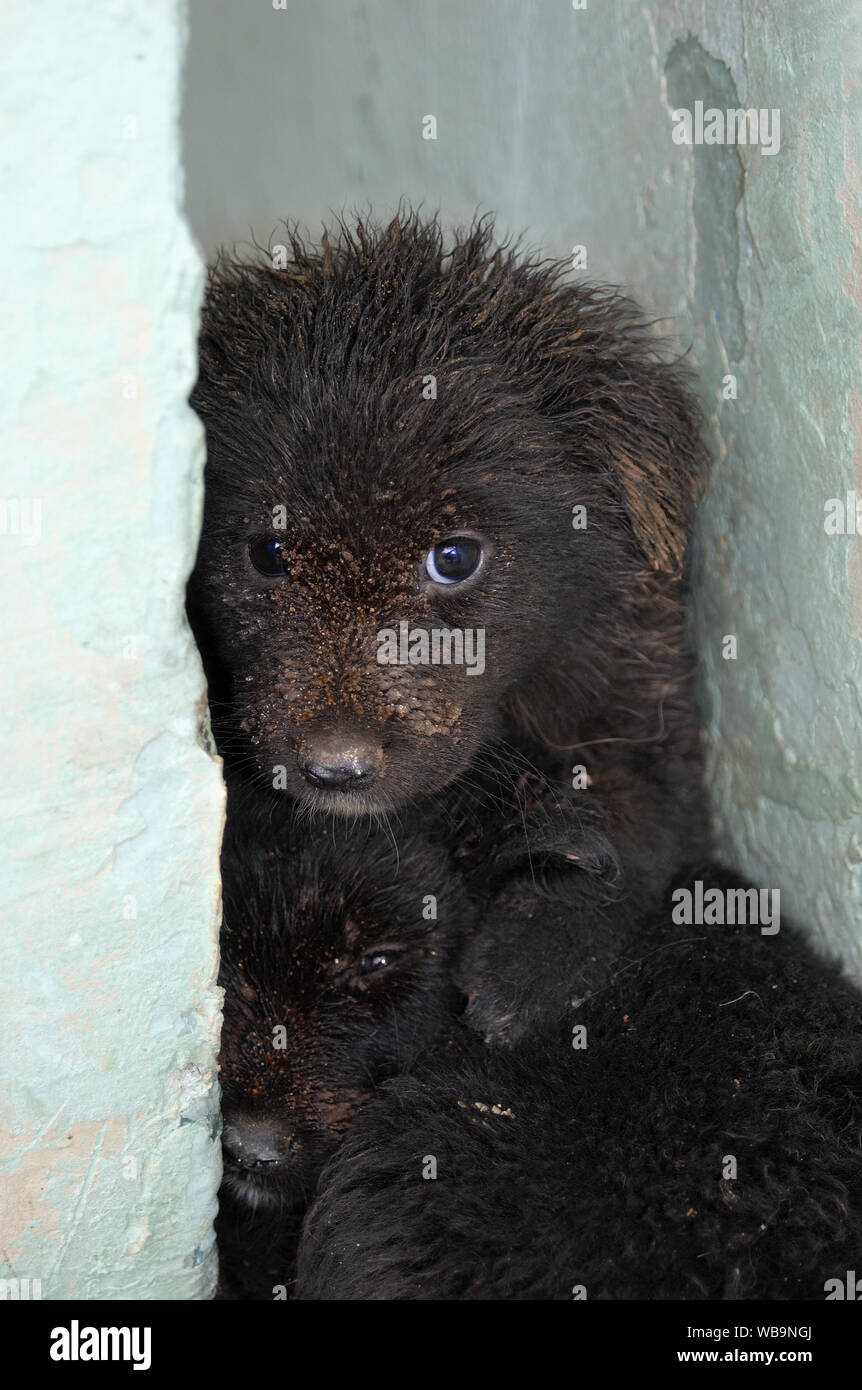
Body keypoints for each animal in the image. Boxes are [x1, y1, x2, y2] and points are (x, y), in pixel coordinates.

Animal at [189, 211, 711, 1039]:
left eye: (455, 557)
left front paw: (534, 954)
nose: (336, 768)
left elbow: (636, 822)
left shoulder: (639, 695)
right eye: (267, 553)